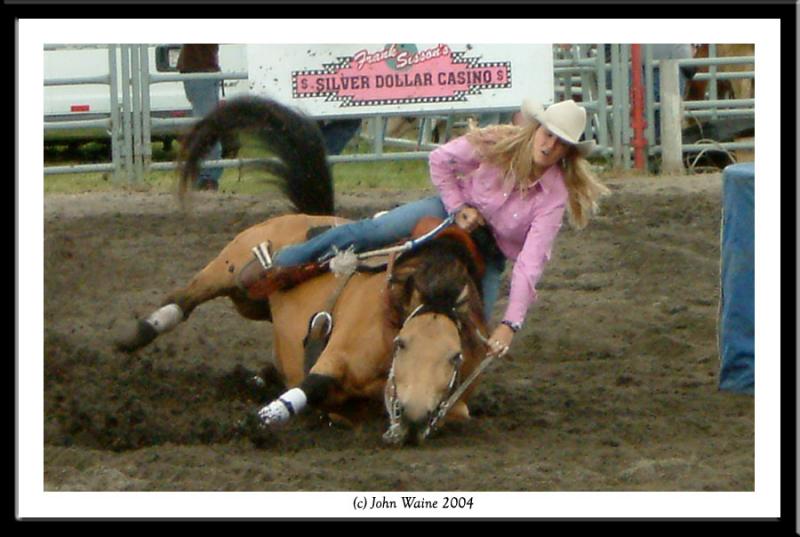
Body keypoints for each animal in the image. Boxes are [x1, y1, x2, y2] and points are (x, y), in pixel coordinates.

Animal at [115, 96, 490, 444]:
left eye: (455, 356)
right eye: (402, 343)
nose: (412, 416)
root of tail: (309, 217)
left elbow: (459, 412)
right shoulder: (333, 359)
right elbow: (308, 389)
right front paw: (251, 424)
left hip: (253, 305)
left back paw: (257, 377)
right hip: (228, 271)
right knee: (185, 299)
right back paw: (136, 335)